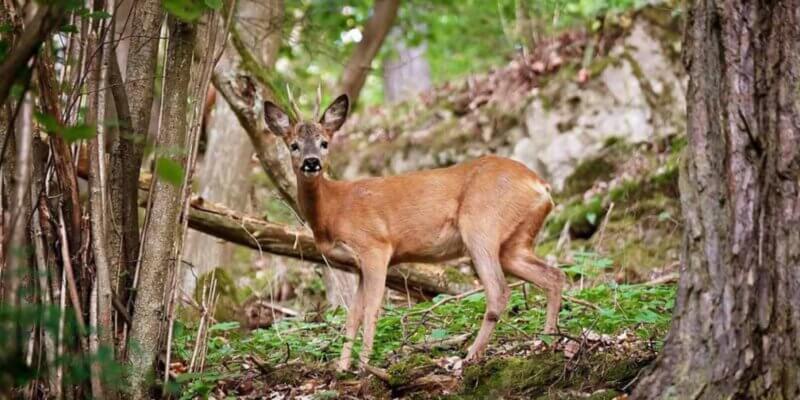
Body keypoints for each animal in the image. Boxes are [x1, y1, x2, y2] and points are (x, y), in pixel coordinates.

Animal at [262, 89, 564, 370]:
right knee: (553, 275)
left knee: (499, 291)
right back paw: (546, 343)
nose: (312, 162)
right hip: (514, 242)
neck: (333, 209)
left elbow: (372, 310)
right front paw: (341, 368)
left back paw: (469, 357)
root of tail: (541, 186)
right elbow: (352, 316)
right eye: (293, 145)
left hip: (481, 225)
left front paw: (364, 367)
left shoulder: (375, 246)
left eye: (324, 143)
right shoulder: (357, 265)